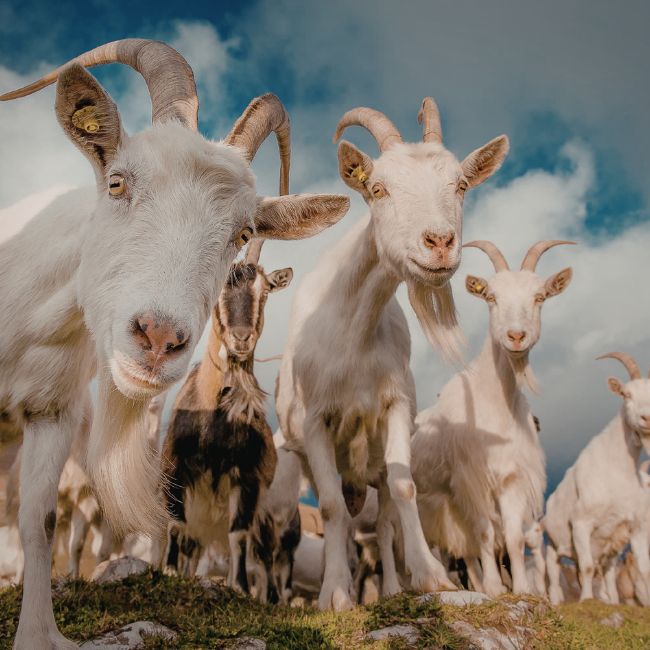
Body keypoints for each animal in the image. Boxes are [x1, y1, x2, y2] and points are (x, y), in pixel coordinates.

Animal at [161, 247, 293, 601]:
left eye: (265, 291)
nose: (241, 338)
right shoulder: (176, 467)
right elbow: (176, 524)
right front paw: (168, 572)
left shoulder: (247, 478)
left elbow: (239, 535)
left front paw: (240, 587)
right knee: (192, 545)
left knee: (265, 557)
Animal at [276, 100, 509, 609]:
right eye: (378, 189)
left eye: (461, 185)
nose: (439, 243)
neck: (354, 335)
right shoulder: (313, 420)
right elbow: (330, 507)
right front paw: (335, 594)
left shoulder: (395, 406)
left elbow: (404, 489)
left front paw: (430, 575)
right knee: (343, 513)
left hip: (376, 464)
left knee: (382, 521)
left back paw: (390, 588)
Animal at [406, 240, 572, 597]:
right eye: (491, 297)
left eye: (540, 297)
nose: (516, 336)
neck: (495, 405)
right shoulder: (471, 478)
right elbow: (484, 531)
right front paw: (496, 588)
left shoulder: (512, 478)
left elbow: (512, 537)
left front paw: (522, 589)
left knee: (466, 552)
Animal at [543, 352, 650, 605]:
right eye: (627, 394)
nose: (646, 418)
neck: (617, 472)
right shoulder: (581, 523)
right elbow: (588, 568)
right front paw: (585, 601)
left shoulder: (637, 527)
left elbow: (644, 569)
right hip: (552, 543)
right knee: (556, 576)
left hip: (607, 549)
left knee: (605, 576)